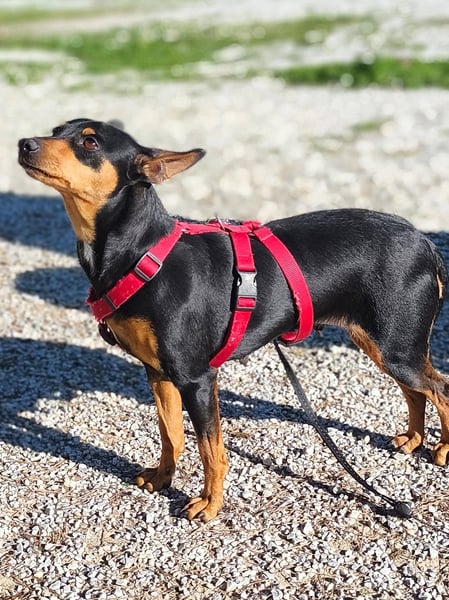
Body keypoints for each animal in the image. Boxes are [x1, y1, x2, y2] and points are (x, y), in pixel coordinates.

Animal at [18, 118, 449, 522]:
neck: (142, 252)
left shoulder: (197, 378)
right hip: (386, 345)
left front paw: (209, 504)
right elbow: (171, 433)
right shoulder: (157, 372)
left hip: (396, 347)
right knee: (416, 391)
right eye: (57, 130)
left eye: (90, 142)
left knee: (439, 388)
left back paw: (442, 448)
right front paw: (163, 477)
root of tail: (424, 242)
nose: (24, 143)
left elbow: (211, 448)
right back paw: (413, 439)